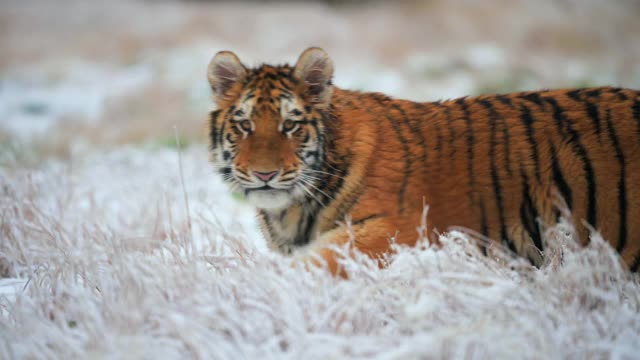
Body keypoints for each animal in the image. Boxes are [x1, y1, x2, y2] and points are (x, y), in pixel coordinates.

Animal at [206, 45, 640, 276]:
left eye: (290, 125)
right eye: (245, 125)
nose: (265, 174)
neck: (290, 210)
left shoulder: (396, 230)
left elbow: (314, 262)